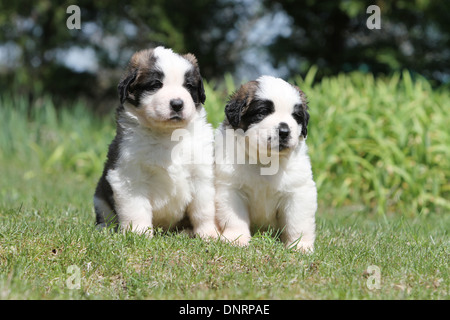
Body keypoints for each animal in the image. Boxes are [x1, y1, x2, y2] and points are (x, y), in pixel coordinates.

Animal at [94, 46, 217, 239]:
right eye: (155, 85)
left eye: (188, 86)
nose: (177, 104)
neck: (168, 135)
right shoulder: (128, 174)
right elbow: (136, 208)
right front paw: (138, 234)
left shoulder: (202, 173)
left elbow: (204, 208)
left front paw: (209, 233)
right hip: (100, 195)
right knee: (105, 215)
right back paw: (103, 229)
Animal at [214, 75, 316, 252]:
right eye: (262, 112)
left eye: (295, 116)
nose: (284, 131)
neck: (265, 160)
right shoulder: (231, 189)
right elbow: (234, 217)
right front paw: (237, 239)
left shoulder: (298, 191)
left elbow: (298, 222)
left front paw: (300, 246)